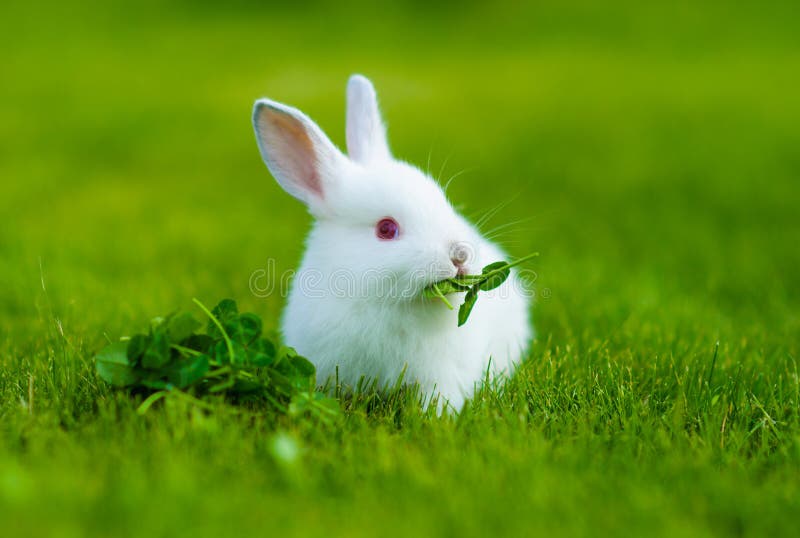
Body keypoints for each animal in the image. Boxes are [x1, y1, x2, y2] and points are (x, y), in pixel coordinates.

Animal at [255, 74, 532, 410]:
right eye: (386, 229)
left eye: (445, 202)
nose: (460, 255)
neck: (386, 303)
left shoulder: (440, 375)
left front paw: (436, 418)